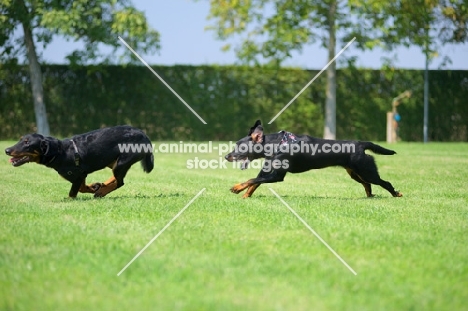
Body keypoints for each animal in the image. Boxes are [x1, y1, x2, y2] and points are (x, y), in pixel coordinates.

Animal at [4, 125, 154, 199]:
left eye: (27, 143)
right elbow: (82, 188)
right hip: (112, 162)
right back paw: (102, 186)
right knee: (116, 178)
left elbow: (73, 192)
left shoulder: (78, 175)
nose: (6, 150)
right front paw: (94, 186)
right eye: (21, 139)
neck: (59, 152)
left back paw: (102, 192)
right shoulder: (80, 175)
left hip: (122, 162)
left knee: (120, 182)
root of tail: (145, 136)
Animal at [225, 120, 400, 199]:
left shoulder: (277, 176)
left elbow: (251, 180)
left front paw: (236, 187)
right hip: (355, 173)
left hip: (366, 170)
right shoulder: (267, 172)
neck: (276, 145)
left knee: (385, 183)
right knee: (367, 184)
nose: (226, 156)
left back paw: (396, 194)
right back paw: (369, 196)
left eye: (240, 146)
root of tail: (361, 143)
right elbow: (254, 183)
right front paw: (244, 195)